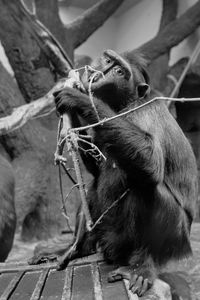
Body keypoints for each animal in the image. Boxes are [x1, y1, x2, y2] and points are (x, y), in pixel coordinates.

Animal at [54, 49, 198, 296]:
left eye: (120, 71)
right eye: (108, 60)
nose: (105, 70)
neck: (122, 106)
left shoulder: (147, 110)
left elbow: (151, 159)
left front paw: (77, 98)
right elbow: (96, 167)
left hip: (172, 246)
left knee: (148, 187)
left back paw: (142, 266)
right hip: (106, 239)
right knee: (93, 186)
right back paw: (77, 249)